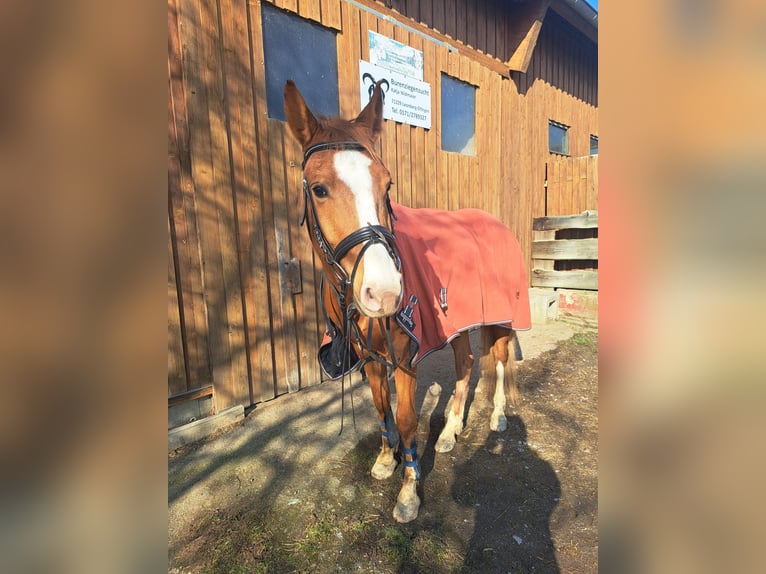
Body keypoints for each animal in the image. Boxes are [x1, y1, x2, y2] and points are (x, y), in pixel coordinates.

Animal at [284, 79, 532, 524]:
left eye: (387, 185)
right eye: (319, 188)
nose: (385, 293)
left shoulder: (404, 360)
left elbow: (405, 419)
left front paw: (409, 493)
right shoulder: (371, 362)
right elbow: (381, 410)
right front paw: (386, 461)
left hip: (501, 320)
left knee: (501, 363)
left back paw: (499, 417)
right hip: (457, 323)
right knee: (467, 363)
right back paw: (450, 432)